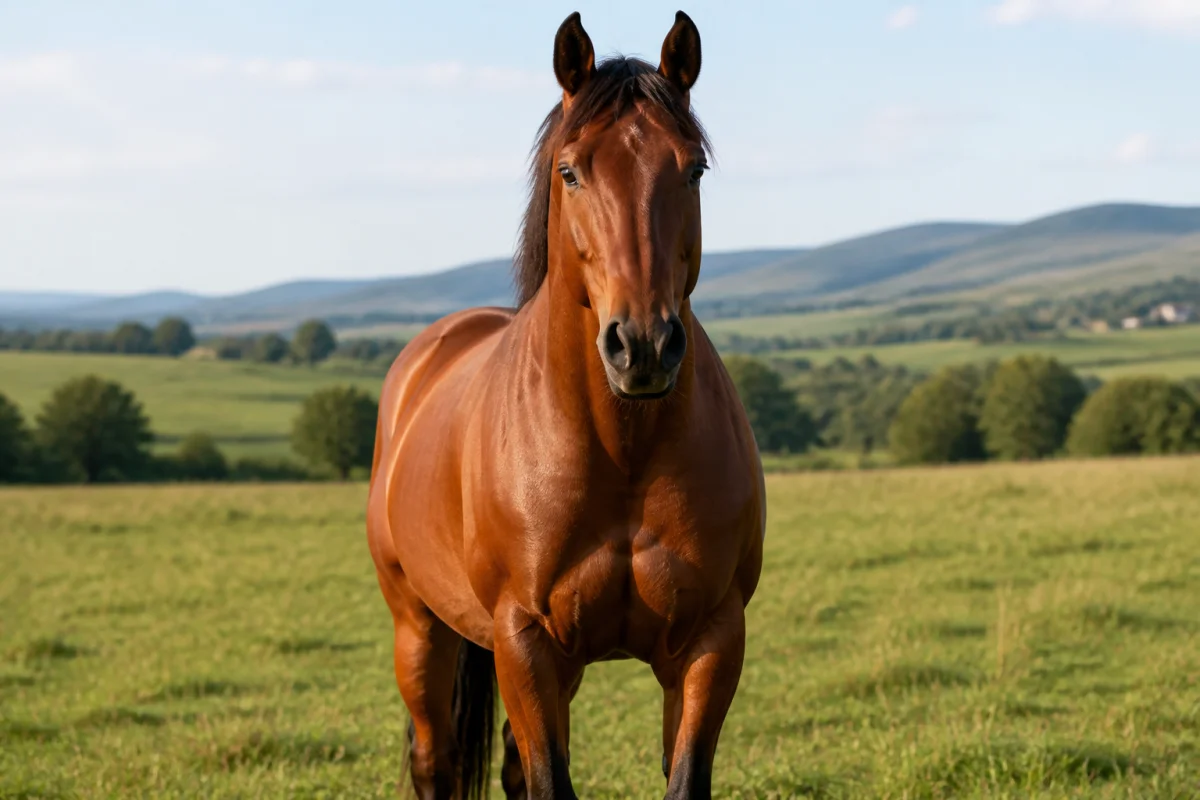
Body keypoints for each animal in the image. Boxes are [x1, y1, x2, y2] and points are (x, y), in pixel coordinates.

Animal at [367, 10, 766, 799]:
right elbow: (549, 779)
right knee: (435, 761)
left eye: (693, 169)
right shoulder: (525, 642)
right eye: (571, 171)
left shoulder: (712, 639)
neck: (623, 448)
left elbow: (677, 778)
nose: (642, 346)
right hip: (419, 628)